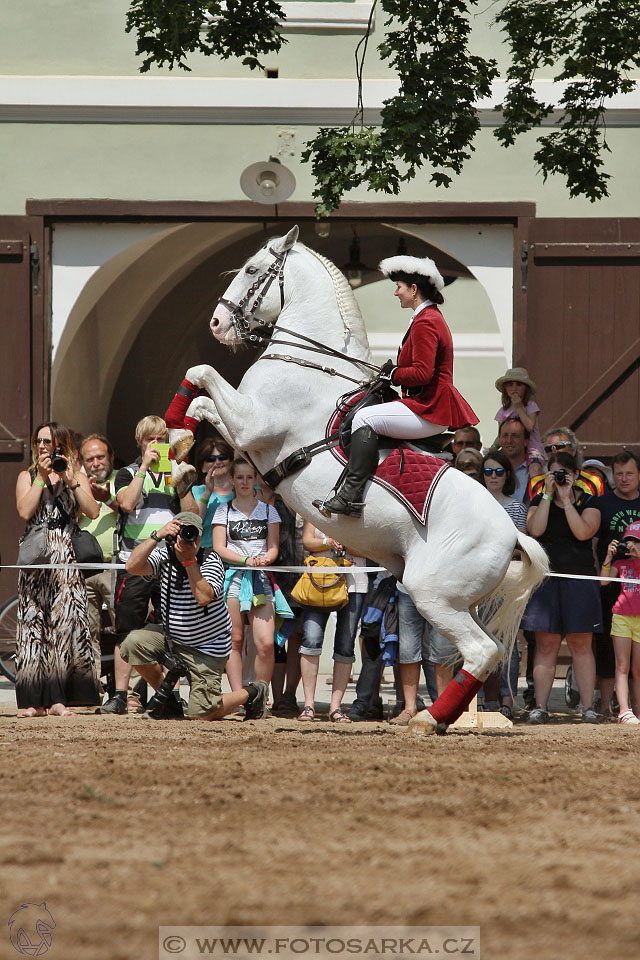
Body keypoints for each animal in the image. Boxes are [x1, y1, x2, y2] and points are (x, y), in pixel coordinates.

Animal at [170, 227, 552, 736]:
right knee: (474, 654)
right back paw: (439, 717)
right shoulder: (244, 432)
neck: (307, 363)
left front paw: (173, 436)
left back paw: (427, 718)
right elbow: (200, 400)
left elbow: (202, 373)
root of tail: (512, 534)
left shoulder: (253, 426)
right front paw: (177, 447)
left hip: (433, 595)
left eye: (252, 270)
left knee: (481, 652)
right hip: (458, 600)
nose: (216, 323)